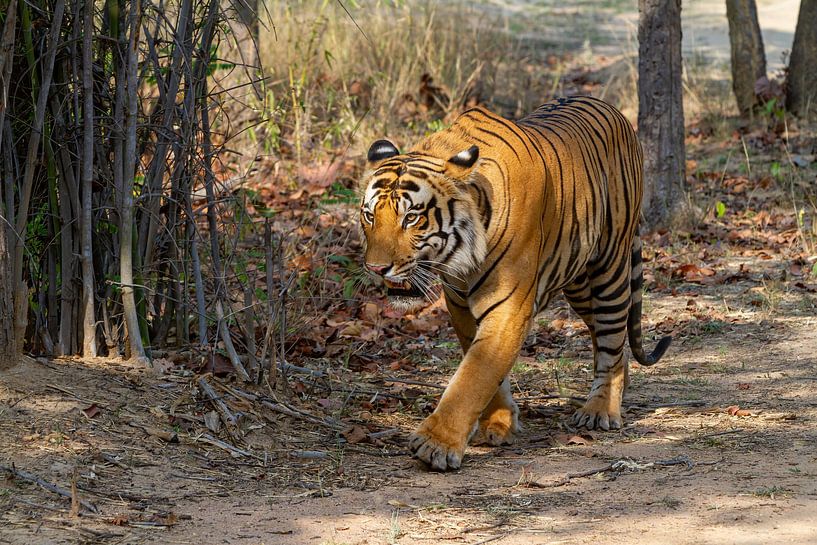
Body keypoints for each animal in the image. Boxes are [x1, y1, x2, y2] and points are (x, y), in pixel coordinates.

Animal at [359, 95, 671, 471]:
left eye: (411, 218)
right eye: (369, 216)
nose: (376, 268)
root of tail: (609, 107)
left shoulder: (509, 306)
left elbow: (473, 376)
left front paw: (437, 444)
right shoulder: (460, 305)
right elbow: (486, 370)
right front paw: (499, 423)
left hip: (609, 267)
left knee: (612, 335)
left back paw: (600, 410)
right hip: (578, 282)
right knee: (612, 338)